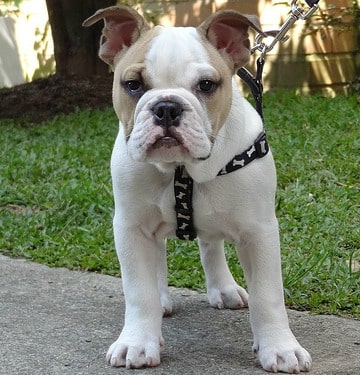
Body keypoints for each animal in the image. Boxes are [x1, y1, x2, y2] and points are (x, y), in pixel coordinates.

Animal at [83, 5, 310, 374]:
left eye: (206, 85)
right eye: (132, 85)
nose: (166, 107)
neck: (181, 168)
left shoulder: (259, 231)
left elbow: (268, 295)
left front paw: (280, 348)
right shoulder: (131, 227)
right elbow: (139, 291)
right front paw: (138, 342)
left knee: (211, 245)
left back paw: (225, 288)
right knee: (159, 261)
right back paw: (162, 297)